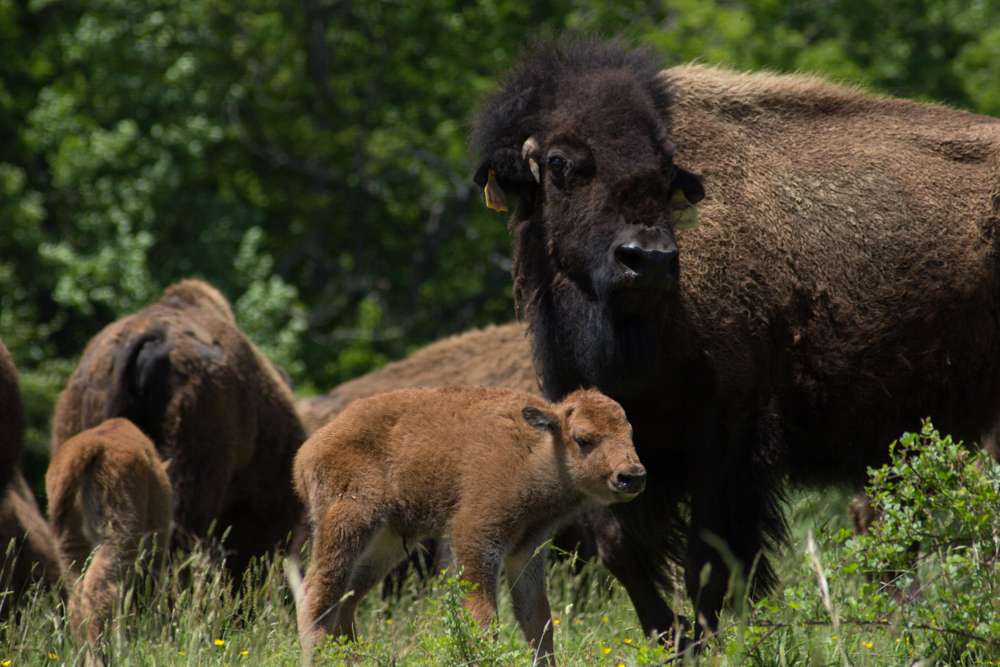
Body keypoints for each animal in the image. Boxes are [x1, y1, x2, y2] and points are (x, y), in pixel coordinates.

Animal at [292, 386, 644, 664]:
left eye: (629, 431)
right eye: (583, 438)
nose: (632, 476)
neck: (537, 450)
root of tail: (306, 452)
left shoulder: (526, 549)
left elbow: (537, 618)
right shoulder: (475, 537)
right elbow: (484, 616)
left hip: (385, 544)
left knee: (346, 601)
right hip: (348, 525)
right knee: (316, 592)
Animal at [470, 37, 1000, 640]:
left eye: (665, 167)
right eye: (559, 163)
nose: (648, 259)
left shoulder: (729, 445)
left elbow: (710, 563)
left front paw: (702, 638)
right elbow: (618, 548)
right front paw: (670, 634)